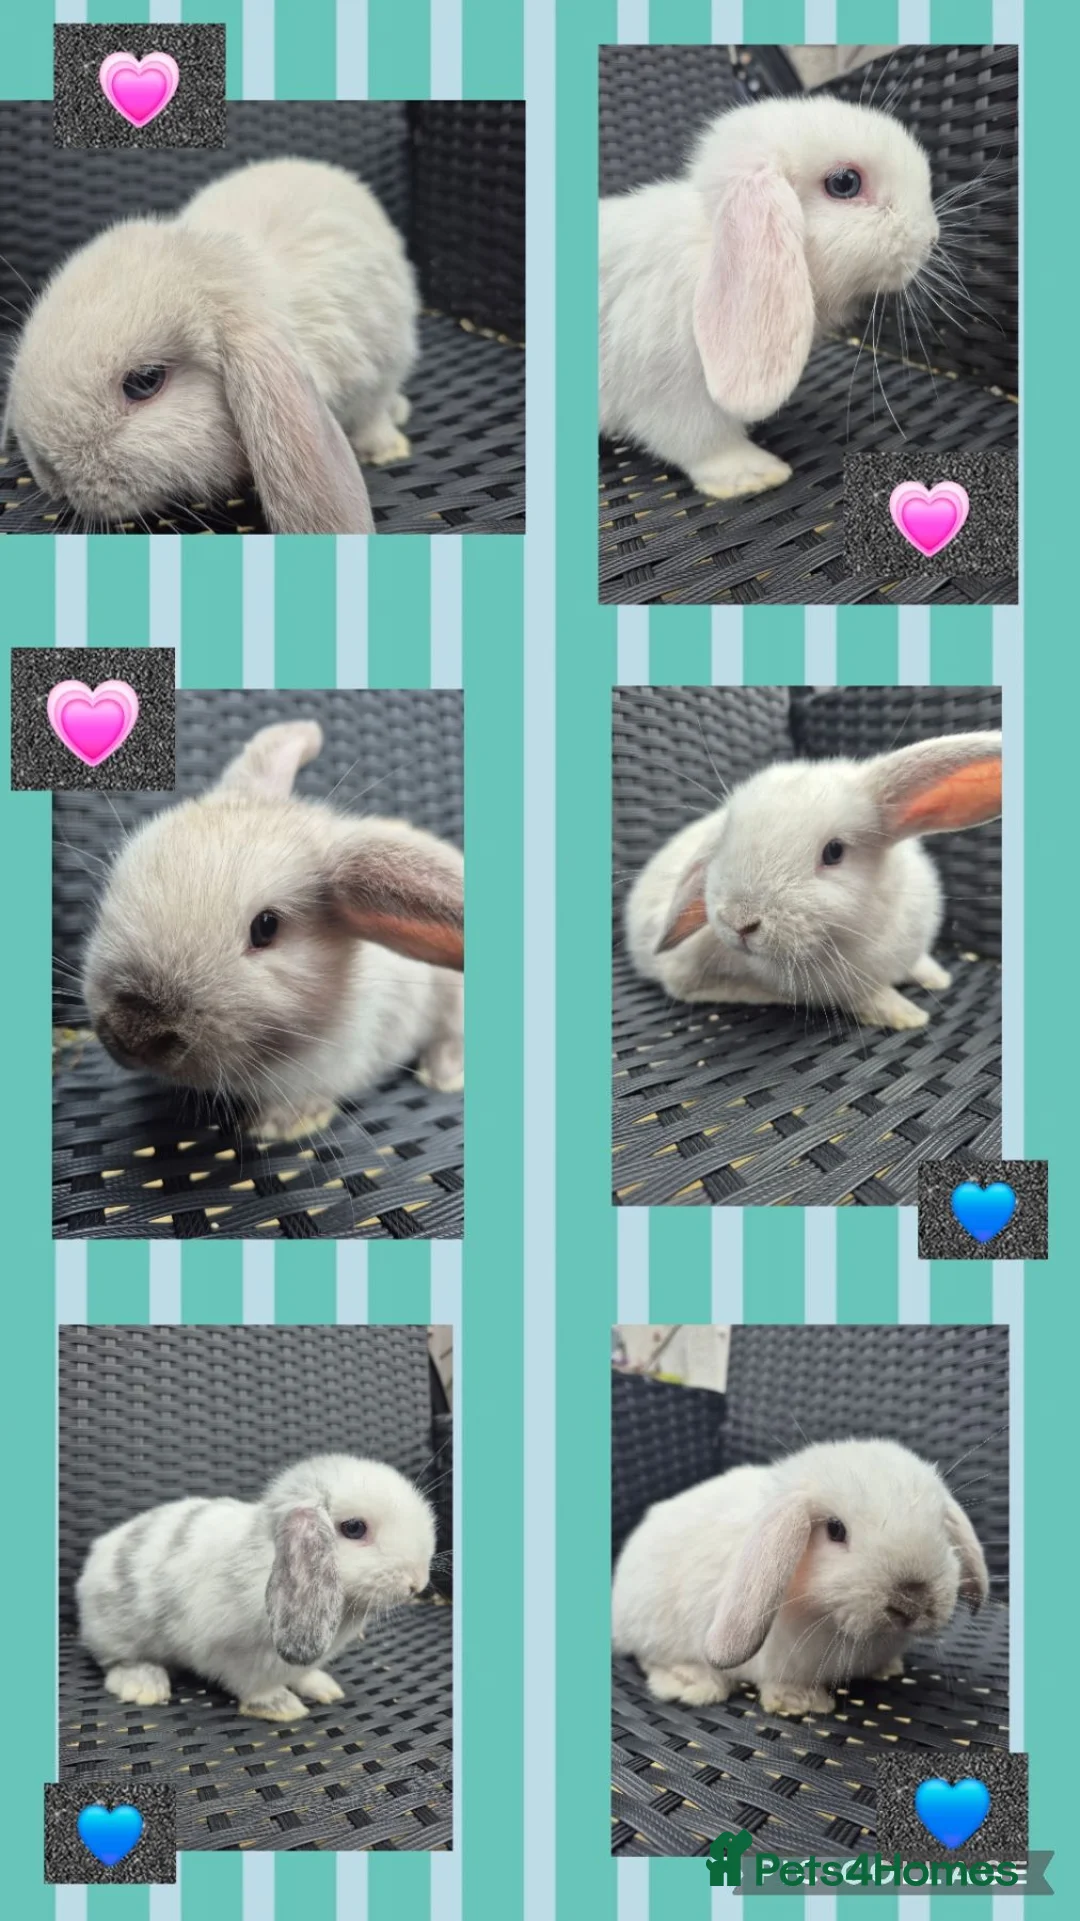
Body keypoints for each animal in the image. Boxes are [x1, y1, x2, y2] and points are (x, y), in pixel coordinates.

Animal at [77, 1454, 436, 1720]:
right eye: (354, 1528)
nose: (417, 1583)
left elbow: (301, 1674)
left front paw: (322, 1687)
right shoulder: (231, 1655)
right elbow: (252, 1686)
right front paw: (281, 1707)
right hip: (118, 1634)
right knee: (116, 1662)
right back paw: (143, 1685)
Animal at [600, 96, 939, 498]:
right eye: (844, 183)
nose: (932, 237)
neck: (709, 248)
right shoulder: (673, 395)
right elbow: (704, 443)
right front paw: (755, 474)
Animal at [612, 1438, 990, 1717]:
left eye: (940, 1528)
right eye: (835, 1530)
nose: (912, 1600)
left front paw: (889, 1669)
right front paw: (801, 1703)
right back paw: (694, 1683)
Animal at [625, 729, 1001, 1032]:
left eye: (834, 851)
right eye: (724, 839)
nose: (738, 921)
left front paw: (937, 977)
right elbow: (867, 997)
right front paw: (907, 1015)